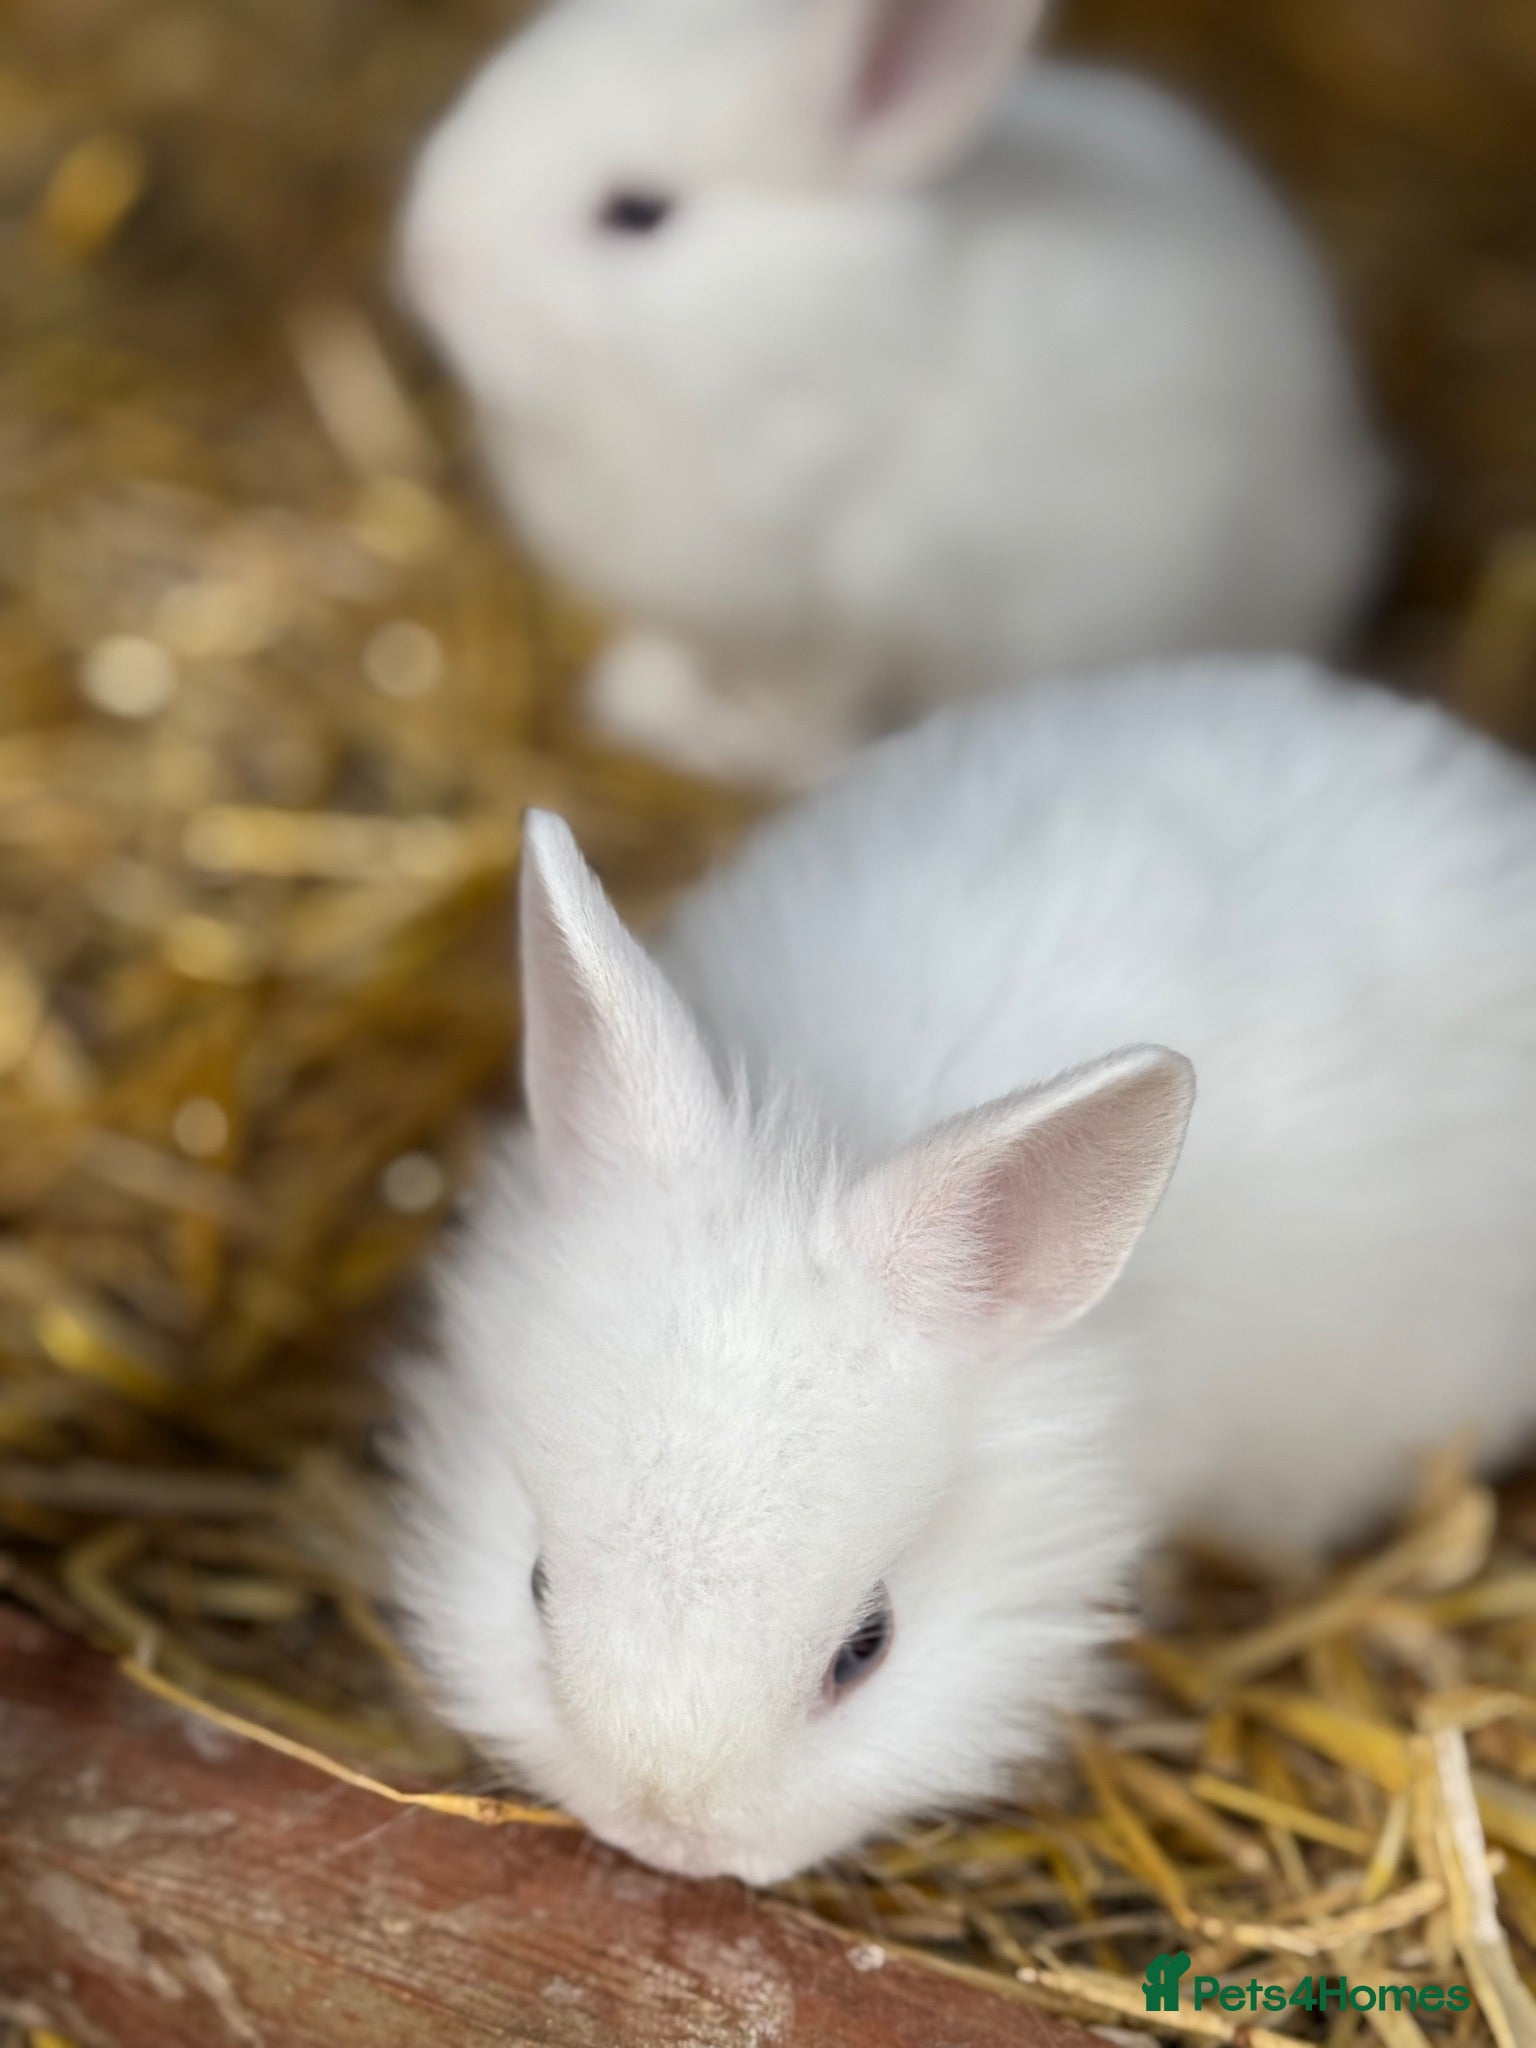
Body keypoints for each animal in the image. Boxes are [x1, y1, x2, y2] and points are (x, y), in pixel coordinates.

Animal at [398, 0, 1392, 786]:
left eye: (637, 211)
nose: (428, 262)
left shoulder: (861, 620)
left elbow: (816, 710)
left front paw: (773, 757)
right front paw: (641, 704)